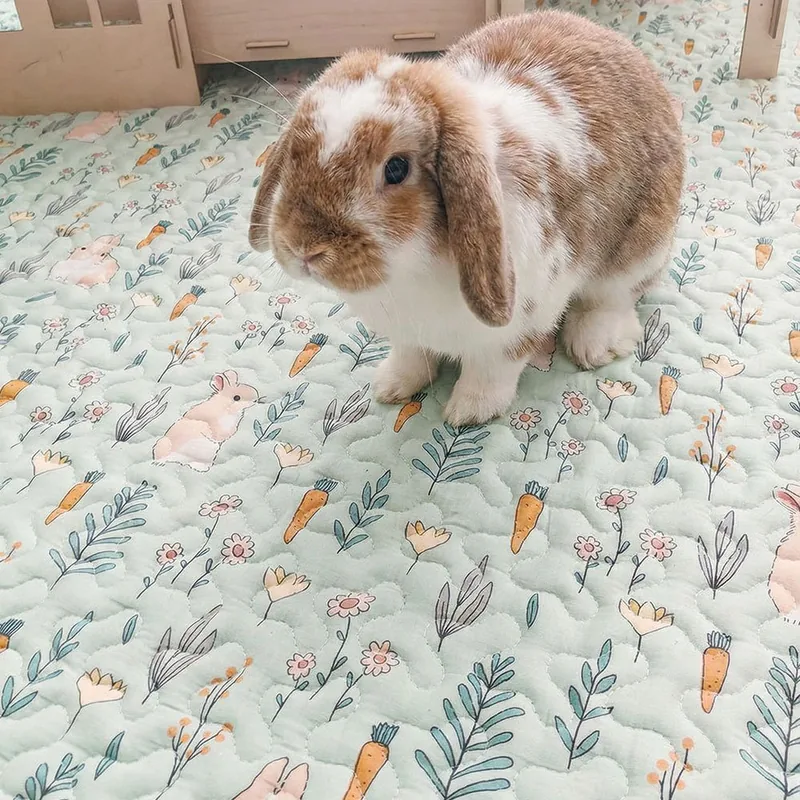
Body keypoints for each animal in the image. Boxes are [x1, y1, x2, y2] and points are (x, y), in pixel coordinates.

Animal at [249, 11, 684, 425]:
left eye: (396, 168)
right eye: (295, 154)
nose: (303, 248)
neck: (411, 267)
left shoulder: (518, 326)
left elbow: (492, 371)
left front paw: (469, 412)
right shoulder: (409, 334)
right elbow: (412, 357)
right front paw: (390, 386)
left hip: (642, 248)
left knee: (615, 297)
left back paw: (594, 345)